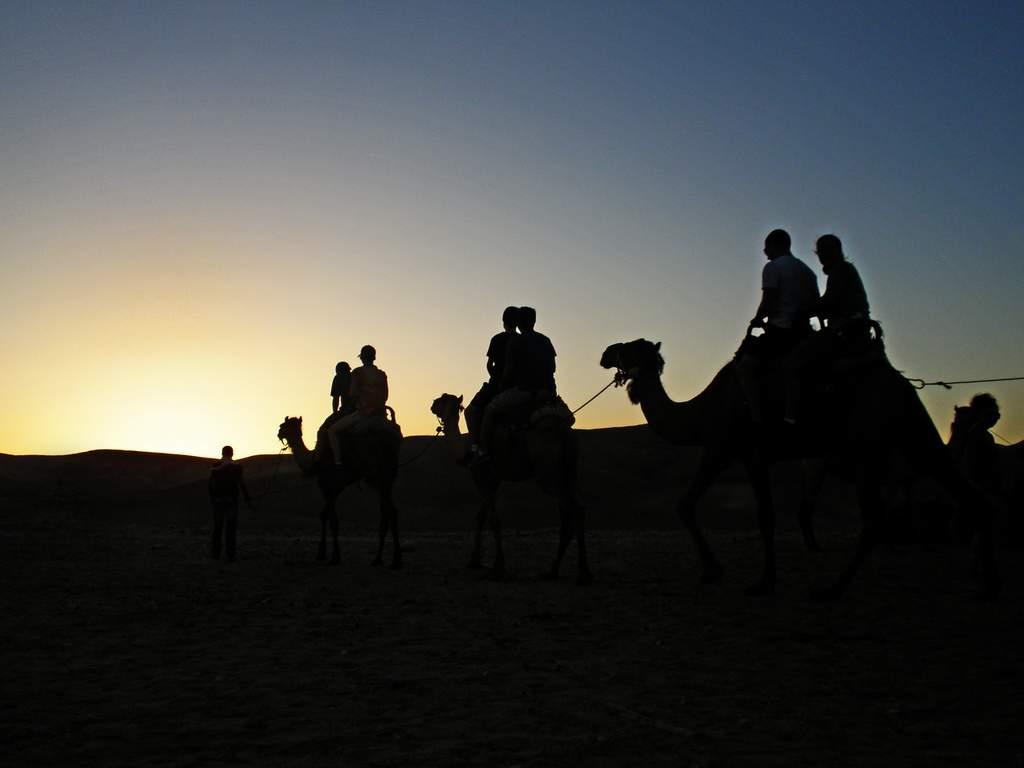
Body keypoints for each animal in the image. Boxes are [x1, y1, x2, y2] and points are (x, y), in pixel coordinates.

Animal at [277, 415, 402, 568]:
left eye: (282, 426)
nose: (279, 434)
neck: (314, 461)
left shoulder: (326, 485)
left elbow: (333, 520)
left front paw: (334, 557)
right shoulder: (335, 489)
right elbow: (324, 515)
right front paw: (322, 553)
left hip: (378, 476)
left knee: (390, 511)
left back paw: (394, 560)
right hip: (385, 480)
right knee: (388, 512)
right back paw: (380, 559)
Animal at [430, 393, 592, 585]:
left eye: (442, 399)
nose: (432, 405)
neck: (465, 451)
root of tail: (563, 431)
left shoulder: (483, 476)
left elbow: (493, 520)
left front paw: (498, 568)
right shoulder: (494, 480)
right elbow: (481, 516)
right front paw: (474, 561)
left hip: (548, 472)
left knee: (571, 509)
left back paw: (576, 573)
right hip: (569, 470)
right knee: (576, 508)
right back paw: (559, 572)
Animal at [599, 338, 1001, 599]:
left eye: (631, 345)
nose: (604, 353)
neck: (701, 411)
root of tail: (902, 383)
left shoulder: (732, 449)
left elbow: (752, 514)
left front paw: (748, 578)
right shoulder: (732, 452)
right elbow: (704, 506)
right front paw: (726, 573)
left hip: (870, 443)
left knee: (875, 517)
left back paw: (832, 587)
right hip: (911, 434)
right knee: (969, 495)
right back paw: (986, 586)